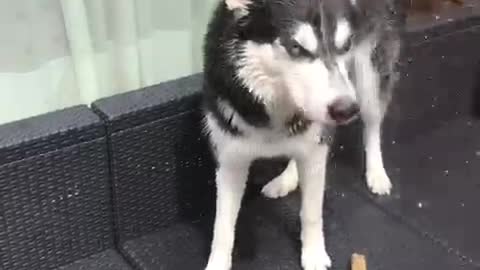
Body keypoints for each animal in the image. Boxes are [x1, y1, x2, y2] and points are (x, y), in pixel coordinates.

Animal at [202, 1, 404, 268]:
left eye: (345, 46)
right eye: (296, 47)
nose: (346, 109)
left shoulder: (317, 148)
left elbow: (311, 212)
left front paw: (314, 255)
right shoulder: (229, 158)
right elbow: (222, 226)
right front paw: (217, 262)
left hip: (368, 79)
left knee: (372, 126)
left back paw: (376, 172)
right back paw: (287, 178)